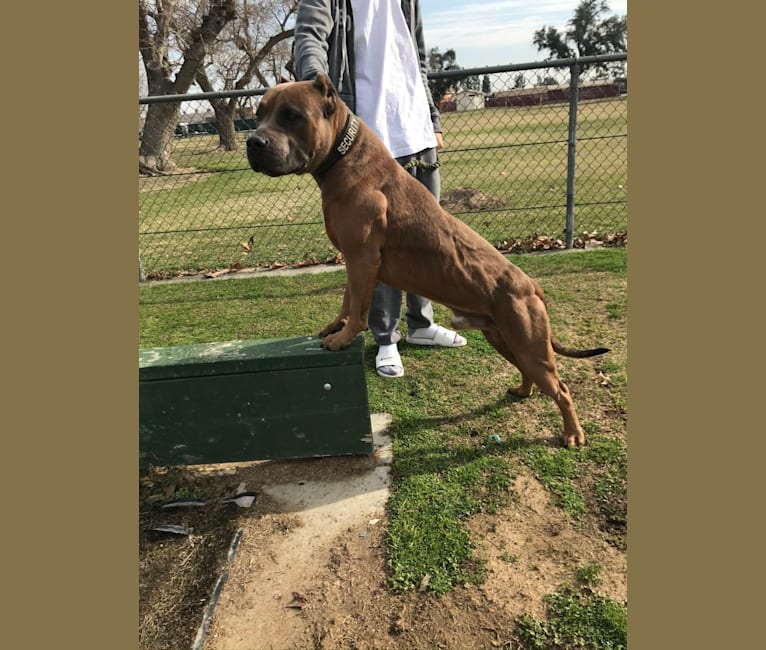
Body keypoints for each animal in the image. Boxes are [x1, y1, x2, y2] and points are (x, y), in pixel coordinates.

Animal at [249, 73, 608, 442]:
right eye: (258, 115)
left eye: (292, 116)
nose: (253, 142)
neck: (344, 158)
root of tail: (531, 285)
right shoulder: (352, 258)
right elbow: (349, 299)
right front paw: (337, 325)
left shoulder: (362, 258)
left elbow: (359, 308)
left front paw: (344, 337)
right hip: (506, 339)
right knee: (530, 373)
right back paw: (523, 391)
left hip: (531, 345)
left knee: (561, 389)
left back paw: (573, 434)